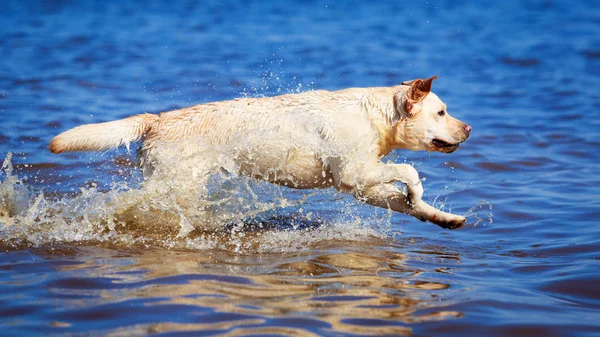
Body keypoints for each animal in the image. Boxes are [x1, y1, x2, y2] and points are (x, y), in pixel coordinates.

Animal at [49, 76, 472, 228]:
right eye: (441, 112)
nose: (468, 128)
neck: (376, 116)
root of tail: (158, 119)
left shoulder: (361, 185)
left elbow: (409, 199)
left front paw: (441, 216)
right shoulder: (355, 173)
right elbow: (410, 171)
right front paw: (416, 191)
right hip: (176, 187)